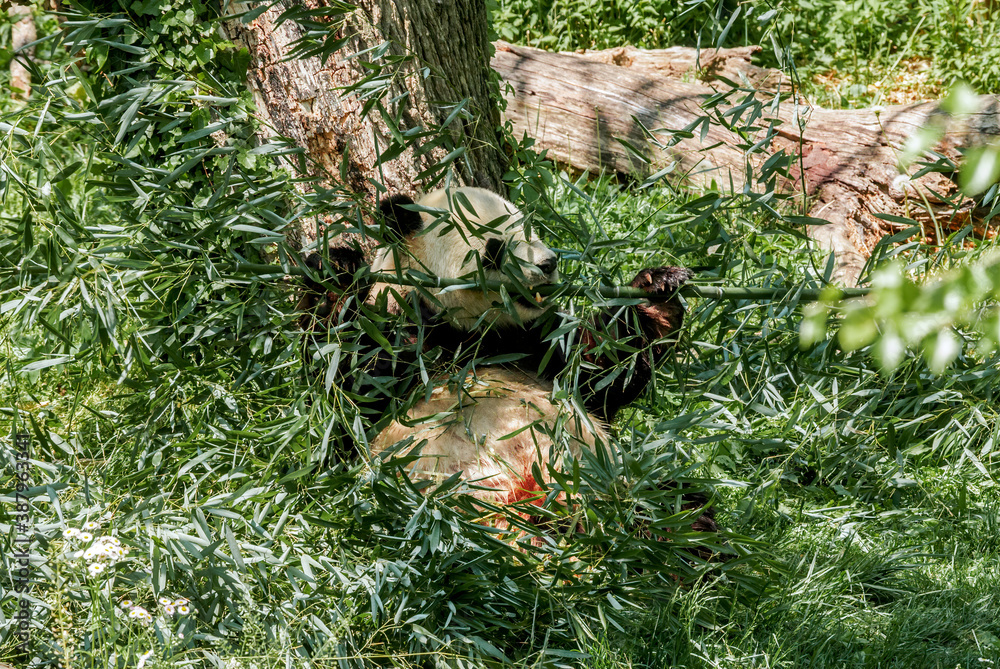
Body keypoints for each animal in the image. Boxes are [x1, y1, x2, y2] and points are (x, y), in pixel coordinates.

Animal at [303, 186, 694, 512]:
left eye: (529, 230)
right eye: (496, 249)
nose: (548, 264)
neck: (467, 334)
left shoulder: (533, 343)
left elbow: (604, 370)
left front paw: (657, 291)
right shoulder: (397, 333)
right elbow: (339, 402)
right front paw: (335, 268)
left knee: (677, 506)